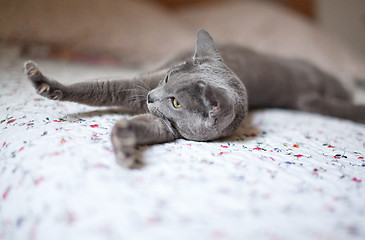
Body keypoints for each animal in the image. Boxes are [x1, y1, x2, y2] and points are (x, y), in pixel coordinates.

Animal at [24, 29, 364, 168]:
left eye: (177, 102)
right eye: (166, 79)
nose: (151, 97)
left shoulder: (169, 127)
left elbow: (141, 125)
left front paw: (124, 143)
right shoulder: (139, 84)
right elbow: (99, 87)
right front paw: (43, 82)